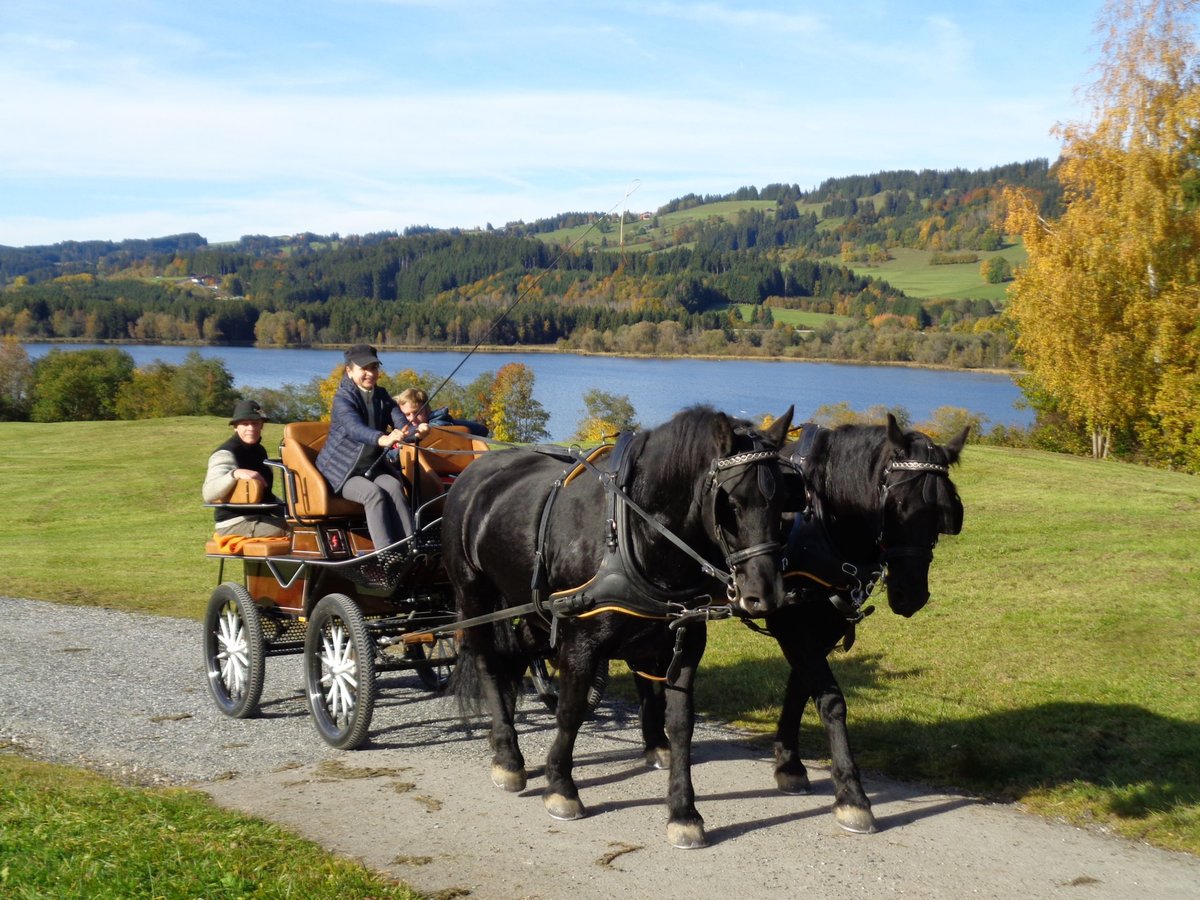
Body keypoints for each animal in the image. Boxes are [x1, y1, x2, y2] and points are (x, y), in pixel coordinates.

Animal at [446, 405, 792, 849]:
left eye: (785, 501)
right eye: (729, 502)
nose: (764, 595)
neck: (632, 530)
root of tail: (476, 471)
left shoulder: (685, 641)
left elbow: (680, 723)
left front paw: (683, 811)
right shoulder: (580, 642)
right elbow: (571, 711)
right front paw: (560, 786)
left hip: (528, 605)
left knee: (517, 653)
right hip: (473, 594)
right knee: (488, 663)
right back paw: (508, 753)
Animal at [768, 420, 964, 835]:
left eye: (946, 512)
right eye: (896, 507)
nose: (911, 595)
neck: (818, 515)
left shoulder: (827, 621)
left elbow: (801, 689)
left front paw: (789, 764)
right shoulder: (787, 619)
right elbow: (831, 700)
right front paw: (852, 796)